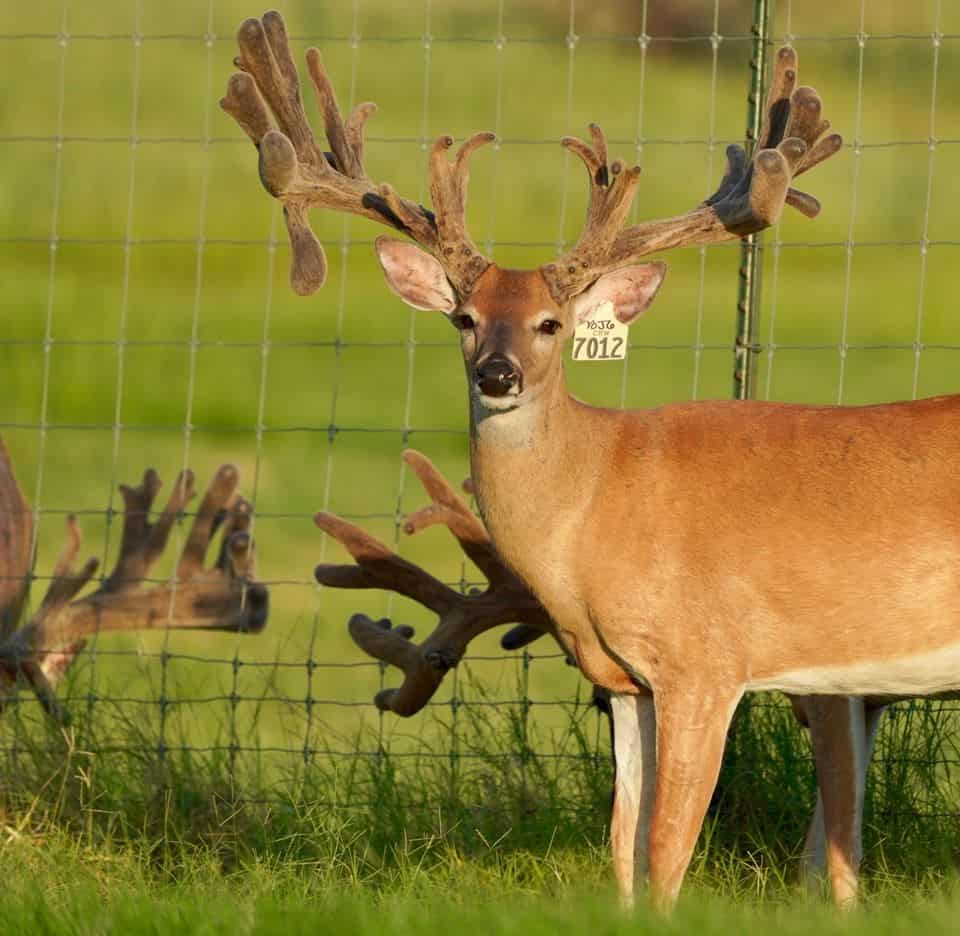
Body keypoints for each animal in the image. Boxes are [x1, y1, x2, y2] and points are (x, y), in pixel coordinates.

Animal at [222, 12, 956, 910]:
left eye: (551, 323)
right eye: (464, 317)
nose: (496, 375)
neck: (600, 497)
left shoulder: (706, 658)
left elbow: (669, 846)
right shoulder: (623, 677)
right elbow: (623, 847)